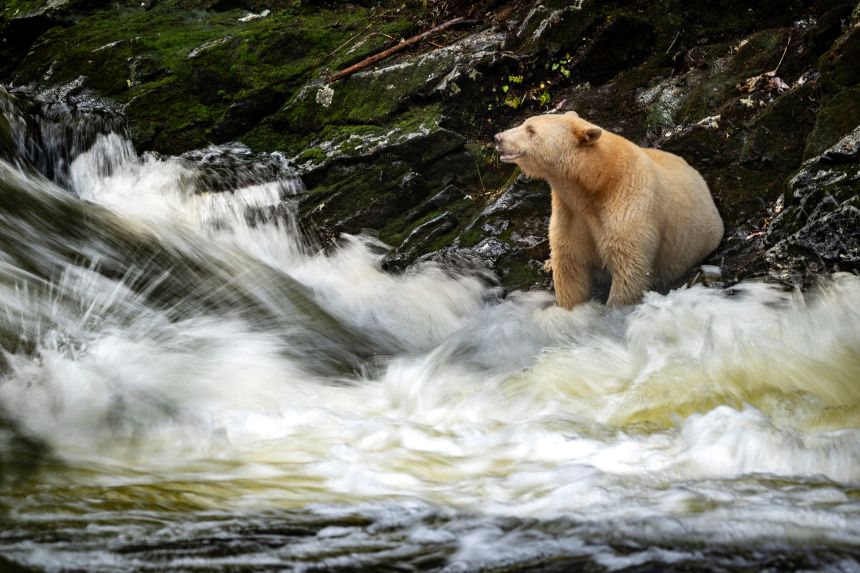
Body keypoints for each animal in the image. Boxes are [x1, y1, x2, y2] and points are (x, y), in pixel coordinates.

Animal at [494, 111, 724, 309]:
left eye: (531, 129)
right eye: (526, 123)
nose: (498, 137)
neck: (594, 183)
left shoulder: (626, 207)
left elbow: (629, 268)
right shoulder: (570, 212)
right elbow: (570, 266)